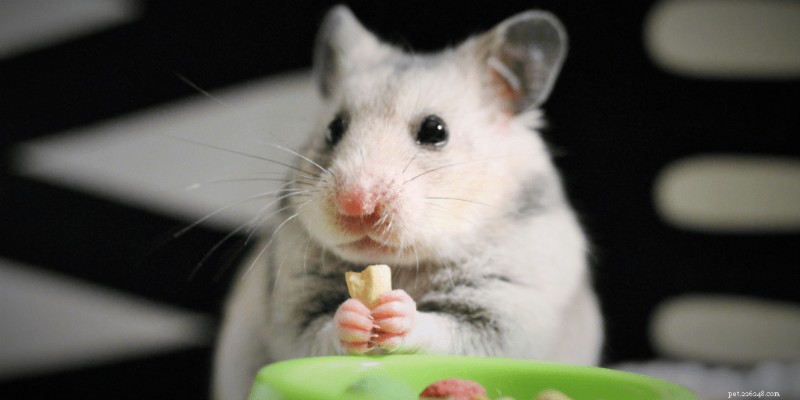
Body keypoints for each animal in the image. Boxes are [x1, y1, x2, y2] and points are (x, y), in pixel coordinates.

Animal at [213, 6, 603, 400]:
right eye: (334, 129)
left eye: (435, 130)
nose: (355, 202)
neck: (400, 265)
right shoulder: (293, 303)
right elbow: (318, 330)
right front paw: (354, 316)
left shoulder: (505, 304)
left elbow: (448, 329)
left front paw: (398, 312)